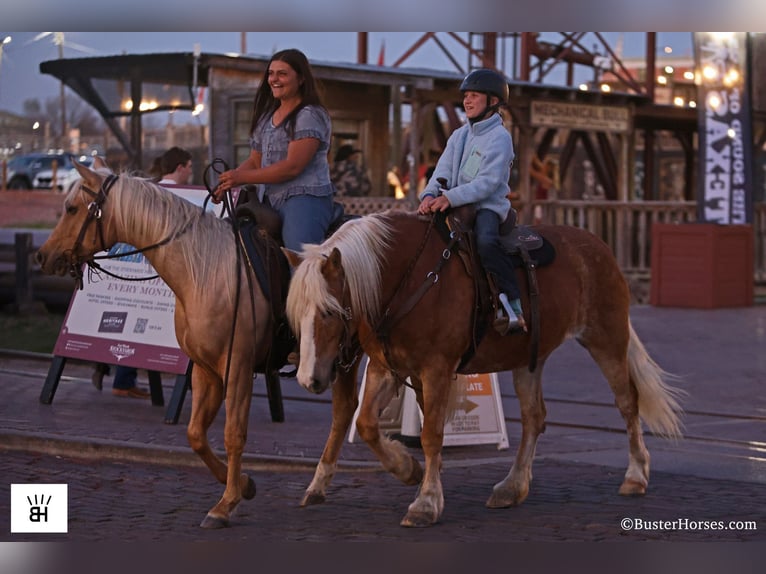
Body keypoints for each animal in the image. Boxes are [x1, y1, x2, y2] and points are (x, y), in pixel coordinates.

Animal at [33, 163, 282, 532]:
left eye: (72, 208)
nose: (41, 255)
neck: (208, 273)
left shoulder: (237, 366)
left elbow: (233, 434)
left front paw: (226, 504)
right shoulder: (205, 369)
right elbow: (196, 434)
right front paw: (243, 484)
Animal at [286, 212, 684, 532]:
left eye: (330, 311)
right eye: (296, 313)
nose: (309, 379)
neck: (409, 278)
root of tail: (598, 246)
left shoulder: (436, 369)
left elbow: (431, 435)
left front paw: (426, 503)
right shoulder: (386, 368)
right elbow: (367, 424)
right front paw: (407, 469)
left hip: (606, 339)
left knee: (628, 403)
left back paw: (636, 476)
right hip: (529, 359)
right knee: (534, 417)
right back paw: (512, 487)